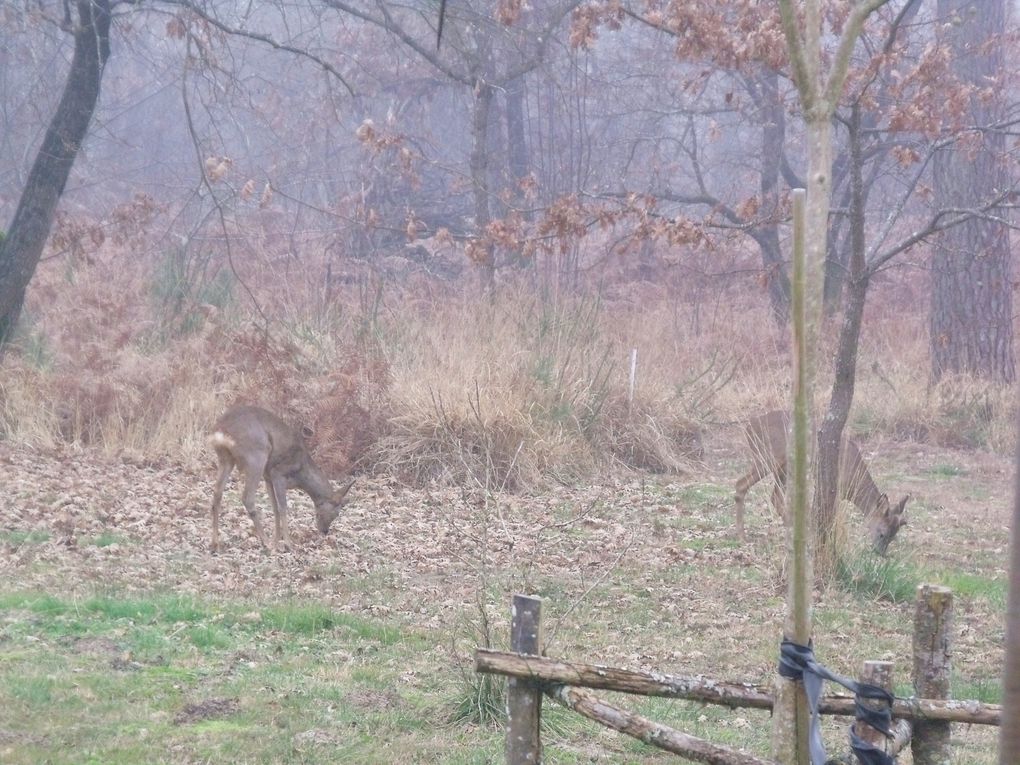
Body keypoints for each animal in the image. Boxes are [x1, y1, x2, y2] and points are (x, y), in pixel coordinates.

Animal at [207, 403, 354, 554]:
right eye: (336, 513)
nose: (325, 531)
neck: (302, 474)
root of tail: (221, 429)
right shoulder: (278, 473)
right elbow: (283, 507)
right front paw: (288, 544)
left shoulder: (268, 477)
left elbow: (274, 508)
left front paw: (276, 541)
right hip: (256, 456)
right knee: (247, 498)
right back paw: (265, 542)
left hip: (226, 459)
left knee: (217, 494)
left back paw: (215, 544)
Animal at [734, 410, 909, 554]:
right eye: (882, 533)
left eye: (894, 536)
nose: (880, 553)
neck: (853, 477)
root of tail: (748, 427)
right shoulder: (833, 487)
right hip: (769, 457)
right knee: (741, 484)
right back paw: (742, 538)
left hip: (784, 467)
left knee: (774, 496)